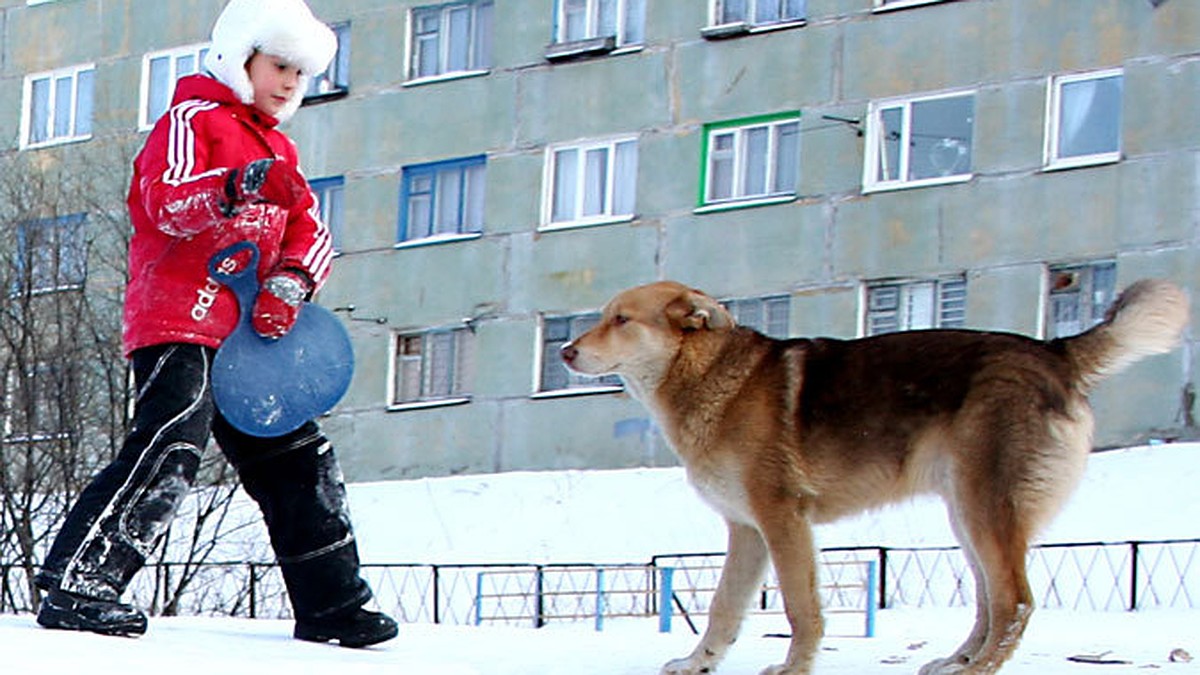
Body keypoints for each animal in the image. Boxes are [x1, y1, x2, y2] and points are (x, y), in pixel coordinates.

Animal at [561, 276, 1190, 667]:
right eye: (603, 317)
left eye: (621, 319)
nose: (564, 352)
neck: (713, 377)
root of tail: (1054, 351)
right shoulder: (747, 530)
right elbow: (723, 609)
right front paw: (698, 664)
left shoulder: (783, 521)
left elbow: (801, 609)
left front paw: (793, 669)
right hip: (968, 514)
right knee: (991, 602)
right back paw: (955, 662)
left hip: (987, 510)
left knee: (1015, 602)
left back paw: (975, 669)